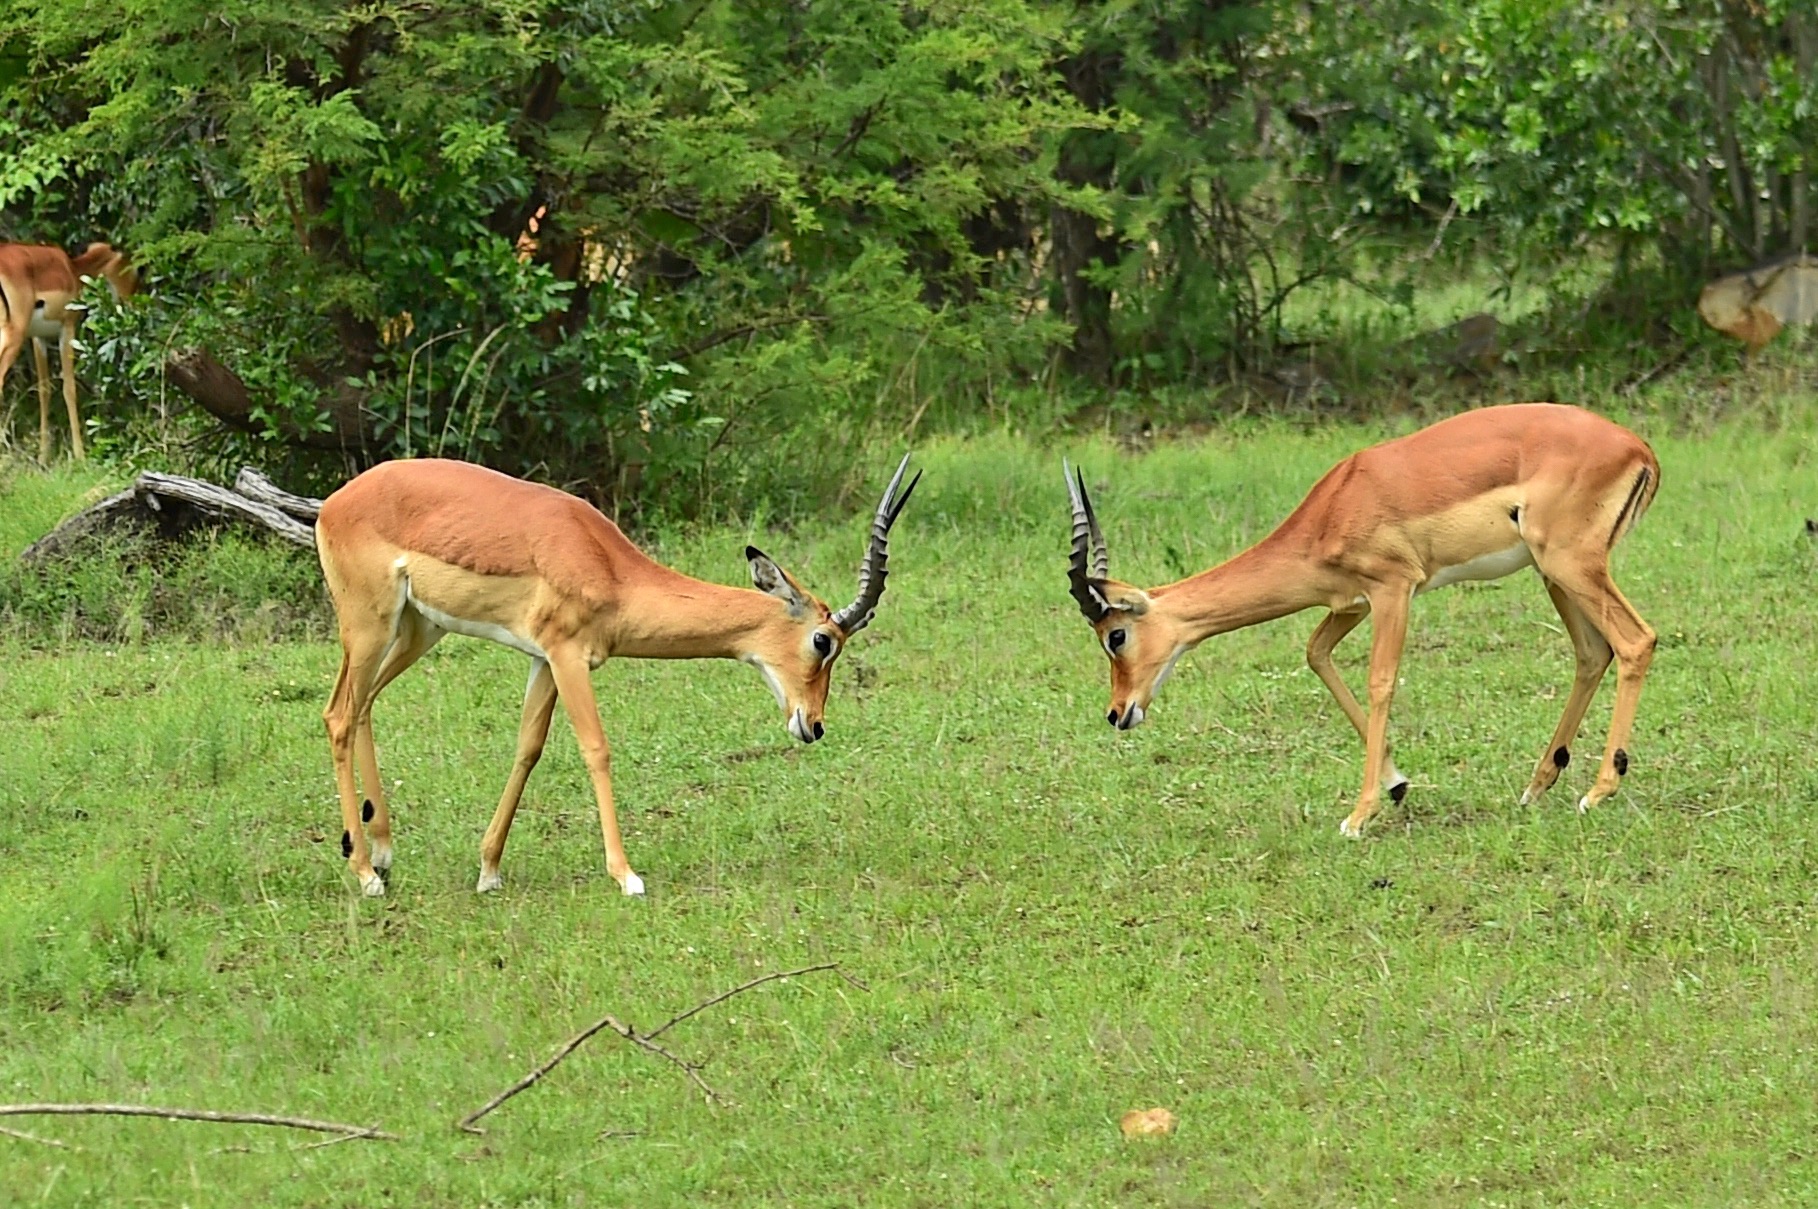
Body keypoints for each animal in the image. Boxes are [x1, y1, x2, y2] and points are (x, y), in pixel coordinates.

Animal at [0, 239, 138, 461]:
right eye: (130, 268)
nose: (132, 303)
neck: (72, 270)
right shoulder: (67, 329)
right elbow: (69, 389)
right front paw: (80, 456)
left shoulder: (38, 338)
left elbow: (44, 391)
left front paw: (43, 456)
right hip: (13, 335)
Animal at [312, 452, 923, 894]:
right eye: (823, 641)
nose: (813, 725)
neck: (608, 566)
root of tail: (334, 503)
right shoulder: (568, 656)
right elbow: (596, 749)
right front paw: (627, 876)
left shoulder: (544, 660)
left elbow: (528, 749)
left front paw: (488, 871)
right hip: (370, 625)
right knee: (339, 714)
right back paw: (365, 875)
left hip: (418, 628)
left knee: (364, 707)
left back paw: (383, 854)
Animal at [1061, 399, 1665, 836]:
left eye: (1116, 635)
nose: (1117, 713)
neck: (1333, 508)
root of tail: (1638, 447)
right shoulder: (1350, 604)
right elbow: (1316, 655)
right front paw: (1397, 784)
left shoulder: (1394, 589)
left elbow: (1380, 681)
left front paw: (1358, 815)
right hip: (1553, 573)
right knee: (1593, 652)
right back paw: (1539, 785)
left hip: (1569, 563)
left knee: (1636, 640)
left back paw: (1598, 790)